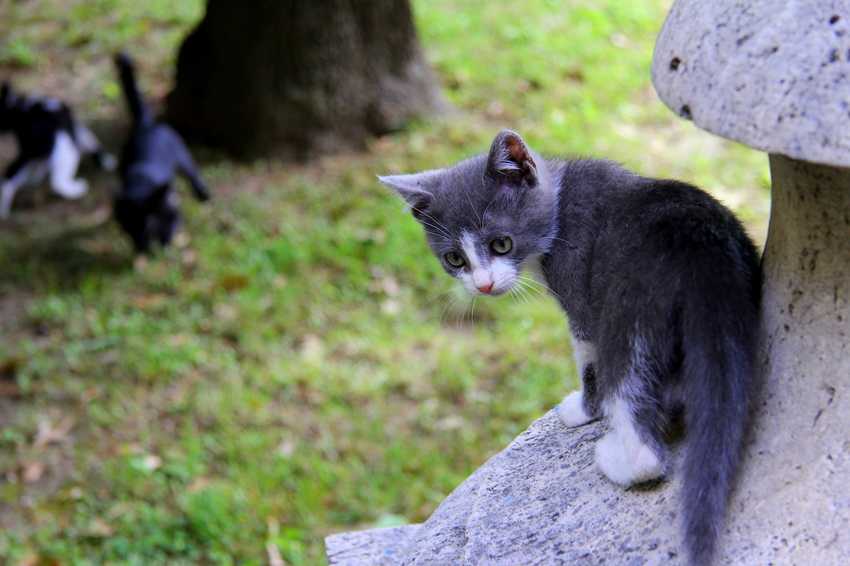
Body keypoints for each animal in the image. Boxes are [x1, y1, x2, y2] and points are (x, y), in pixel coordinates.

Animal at [0, 82, 115, 220]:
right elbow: (90, 139)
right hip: (65, 149)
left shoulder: (32, 153)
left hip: (29, 152)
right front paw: (106, 162)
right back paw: (76, 189)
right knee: (57, 182)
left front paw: (32, 181)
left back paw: (3, 211)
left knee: (9, 177)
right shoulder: (73, 130)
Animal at [112, 52, 209, 253]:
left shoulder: (171, 210)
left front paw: (164, 245)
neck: (140, 186)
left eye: (146, 224)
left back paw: (203, 194)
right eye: (127, 229)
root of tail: (146, 124)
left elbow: (170, 224)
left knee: (192, 173)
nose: (140, 246)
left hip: (181, 154)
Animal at [380, 130, 760, 566]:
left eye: (501, 244)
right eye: (455, 258)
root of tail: (704, 255)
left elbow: (587, 354)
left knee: (632, 404)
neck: (560, 204)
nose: (484, 286)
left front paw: (582, 410)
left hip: (629, 308)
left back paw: (617, 459)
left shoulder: (580, 287)